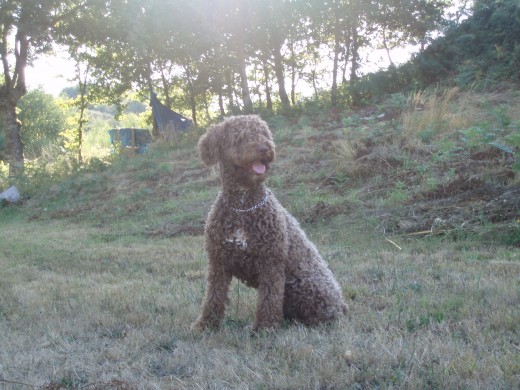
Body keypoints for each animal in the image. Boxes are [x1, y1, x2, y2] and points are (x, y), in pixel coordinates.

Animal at [193, 114, 348, 330]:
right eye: (240, 136)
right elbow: (213, 297)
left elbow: (269, 298)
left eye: (264, 133)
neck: (242, 207)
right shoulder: (218, 262)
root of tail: (342, 303)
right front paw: (206, 324)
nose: (265, 148)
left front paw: (265, 328)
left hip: (301, 284)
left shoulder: (271, 262)